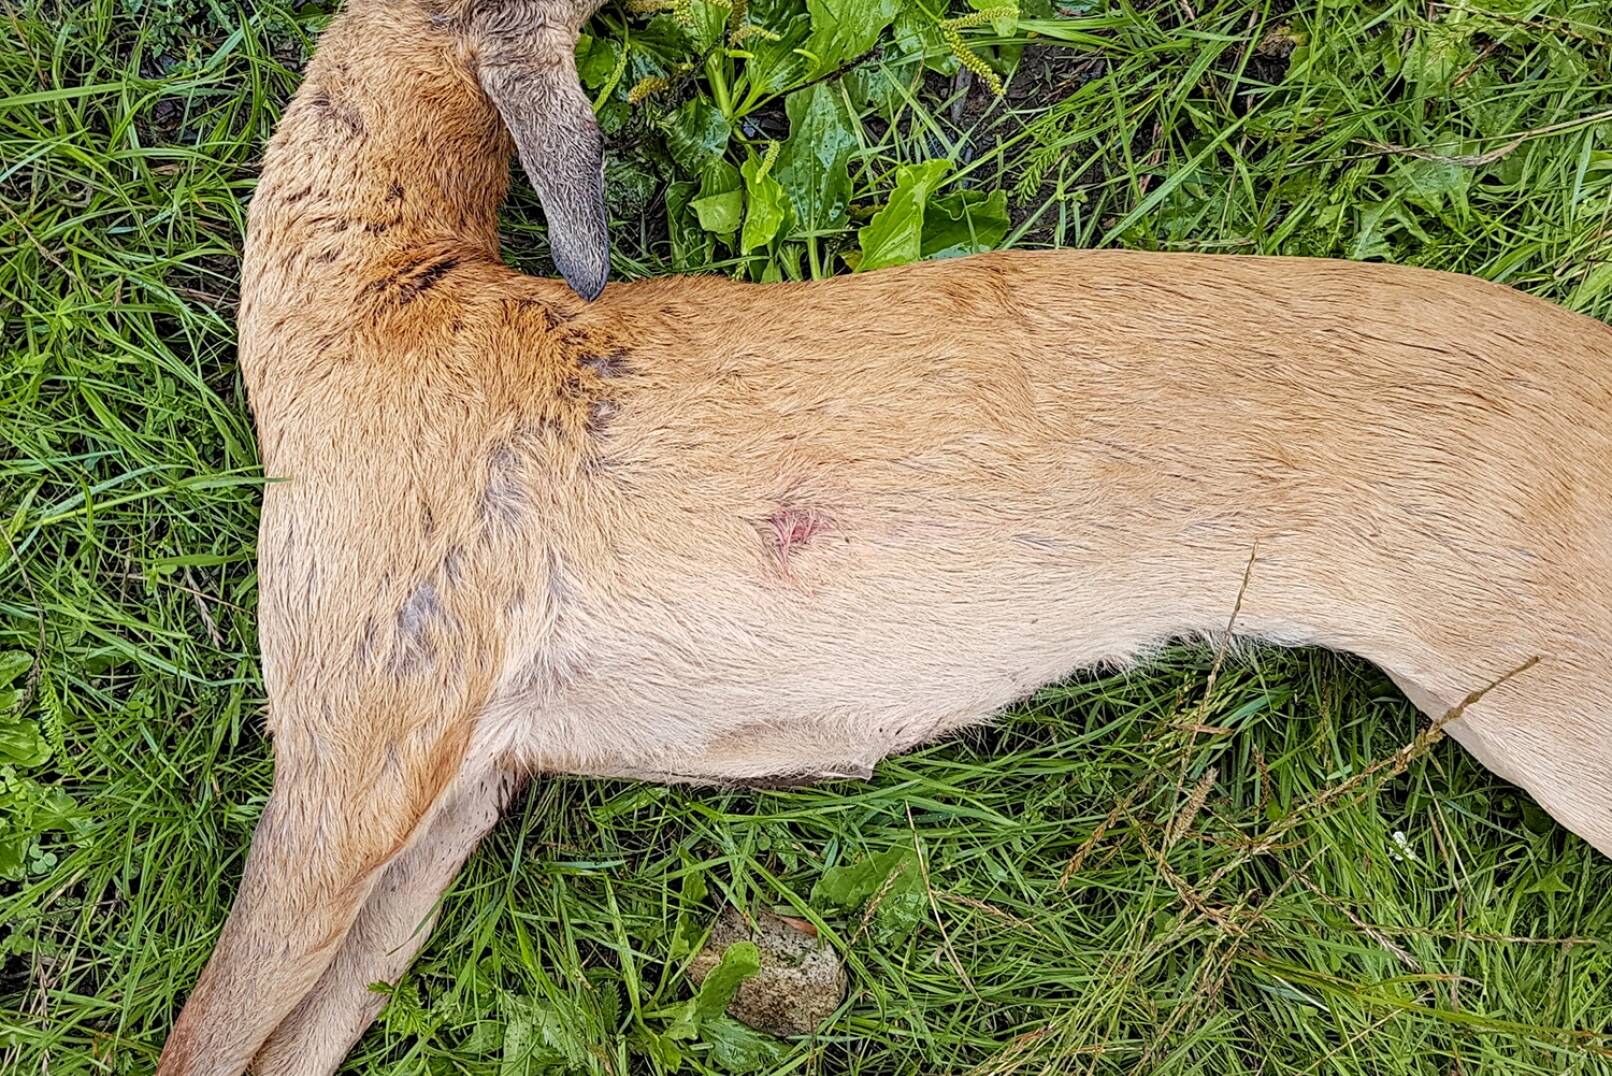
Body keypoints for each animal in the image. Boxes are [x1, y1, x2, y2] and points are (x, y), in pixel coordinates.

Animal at [157, 0, 1612, 1071]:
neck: (374, 308)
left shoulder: (367, 704)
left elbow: (211, 1029)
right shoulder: (468, 773)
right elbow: (303, 1032)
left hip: (1551, 694)